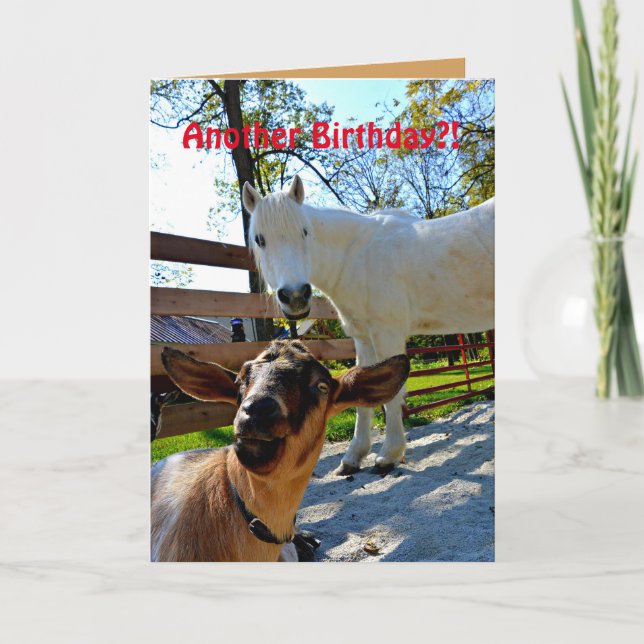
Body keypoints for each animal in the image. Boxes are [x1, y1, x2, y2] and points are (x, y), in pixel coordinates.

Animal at [243, 176, 494, 474]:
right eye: (260, 240)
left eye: (304, 232)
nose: (295, 296)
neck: (357, 257)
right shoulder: (363, 338)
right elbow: (361, 392)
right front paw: (353, 458)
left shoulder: (387, 334)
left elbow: (392, 395)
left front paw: (388, 455)